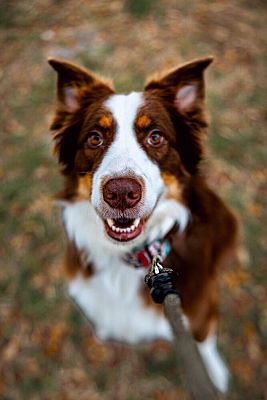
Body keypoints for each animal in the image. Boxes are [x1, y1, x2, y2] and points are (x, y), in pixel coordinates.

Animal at [48, 57, 239, 394]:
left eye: (155, 136)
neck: (136, 257)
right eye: (94, 137)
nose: (122, 193)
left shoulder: (199, 309)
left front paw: (215, 375)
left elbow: (203, 344)